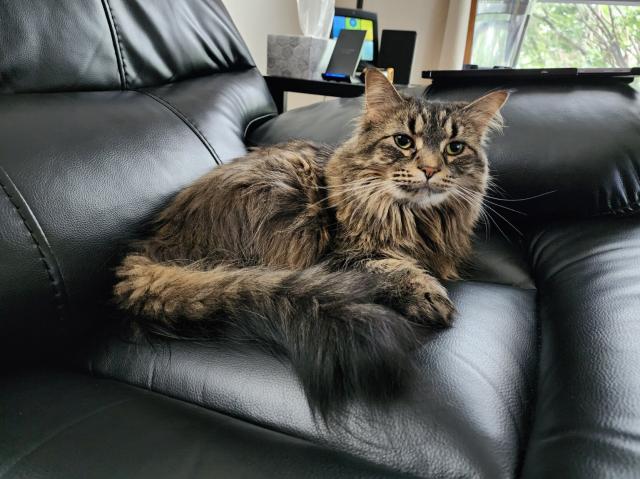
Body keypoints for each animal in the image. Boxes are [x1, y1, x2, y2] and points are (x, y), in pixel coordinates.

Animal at [114, 69, 504, 418]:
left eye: (455, 148)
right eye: (403, 141)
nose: (430, 169)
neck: (414, 219)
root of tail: (149, 247)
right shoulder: (344, 256)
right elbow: (396, 268)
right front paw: (430, 295)